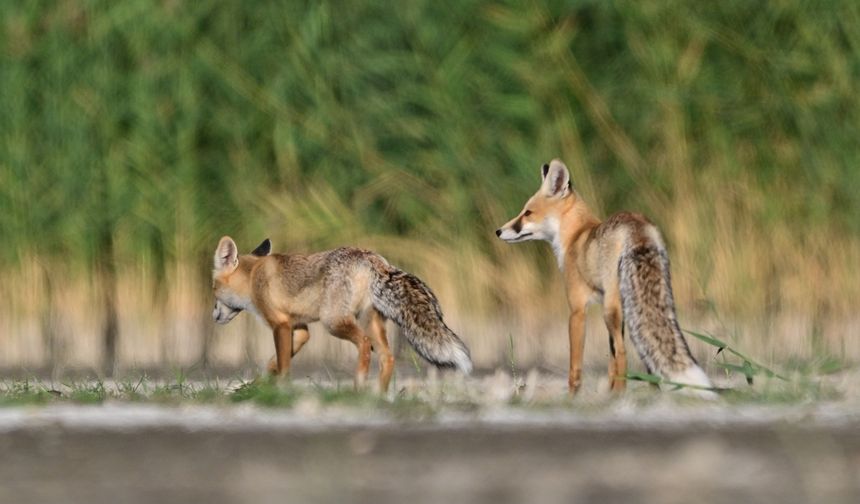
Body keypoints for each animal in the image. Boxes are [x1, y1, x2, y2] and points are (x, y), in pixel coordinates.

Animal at [212, 234, 474, 392]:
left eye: (213, 289)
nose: (213, 315)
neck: (253, 276)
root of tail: (372, 257)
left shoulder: (280, 324)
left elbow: (284, 365)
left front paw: (280, 389)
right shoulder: (299, 329)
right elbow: (273, 363)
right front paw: (255, 384)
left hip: (334, 322)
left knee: (365, 344)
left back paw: (359, 387)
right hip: (368, 321)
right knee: (387, 357)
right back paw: (379, 396)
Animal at [494, 160, 716, 398]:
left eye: (527, 213)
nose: (498, 231)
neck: (576, 237)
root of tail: (636, 224)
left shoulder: (577, 310)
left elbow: (576, 366)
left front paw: (573, 398)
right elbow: (611, 362)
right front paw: (609, 394)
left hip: (610, 310)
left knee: (623, 353)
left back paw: (622, 394)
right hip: (635, 305)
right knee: (644, 356)